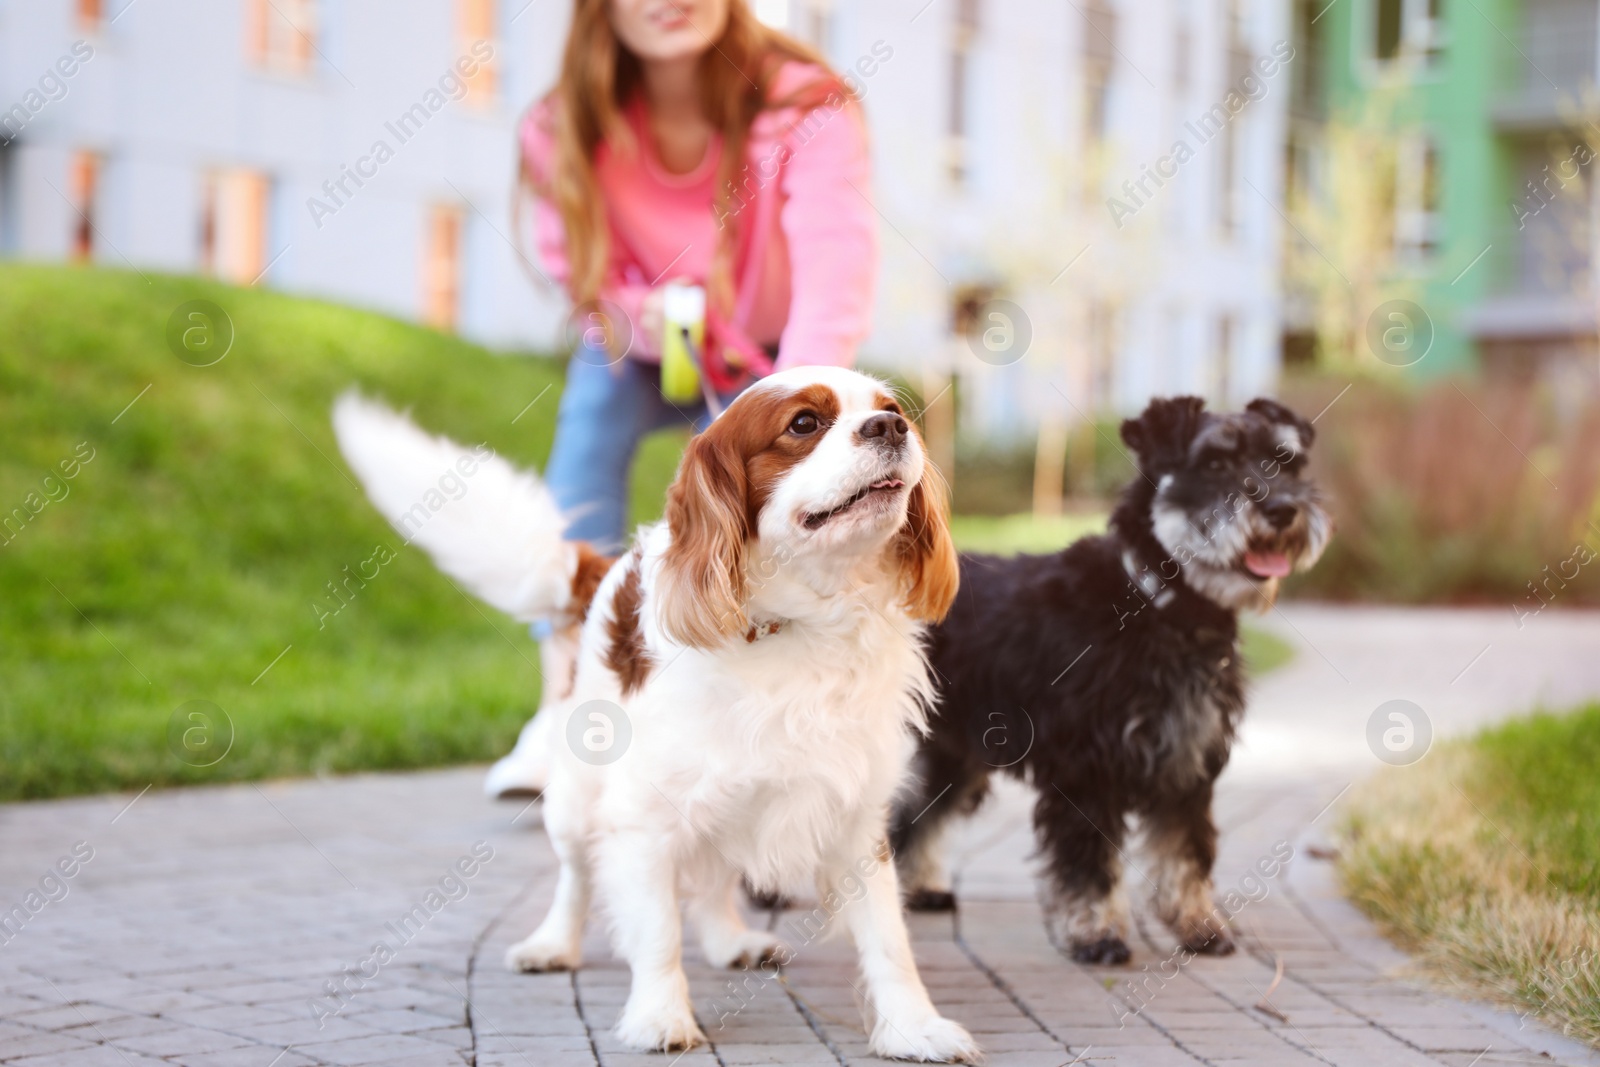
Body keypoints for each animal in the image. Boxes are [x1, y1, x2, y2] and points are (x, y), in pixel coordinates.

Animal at [337, 367, 972, 1062]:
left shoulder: (855, 816)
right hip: (575, 800)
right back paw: (553, 944)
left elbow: (889, 940)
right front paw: (660, 1016)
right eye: (804, 424)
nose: (891, 428)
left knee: (714, 878)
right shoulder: (643, 819)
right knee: (576, 877)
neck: (798, 621)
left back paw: (730, 941)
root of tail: (602, 571)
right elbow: (658, 931)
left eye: (891, 410)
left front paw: (914, 1028)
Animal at [896, 396, 1331, 966]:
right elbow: (1091, 863)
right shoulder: (1088, 770)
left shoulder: (1188, 762)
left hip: (954, 750)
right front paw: (1096, 932)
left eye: (1285, 461)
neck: (1160, 607)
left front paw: (1198, 923)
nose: (1281, 509)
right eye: (1214, 464)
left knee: (916, 811)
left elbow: (1186, 852)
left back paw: (917, 887)